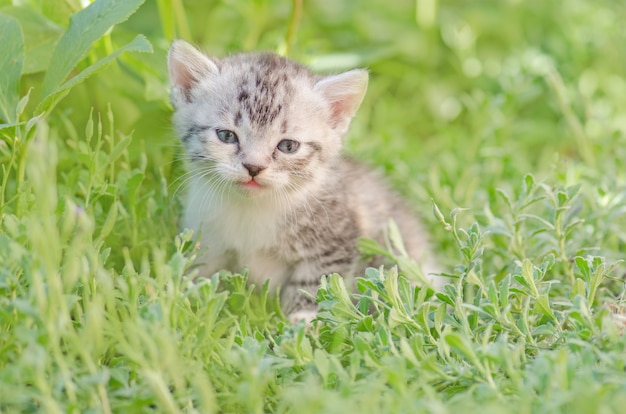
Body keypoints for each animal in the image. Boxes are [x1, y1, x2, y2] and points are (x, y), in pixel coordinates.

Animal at [167, 40, 438, 322]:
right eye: (226, 136)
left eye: (288, 146)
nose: (254, 167)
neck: (252, 210)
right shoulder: (208, 238)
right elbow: (201, 276)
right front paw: (188, 304)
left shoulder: (336, 242)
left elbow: (317, 285)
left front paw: (302, 321)